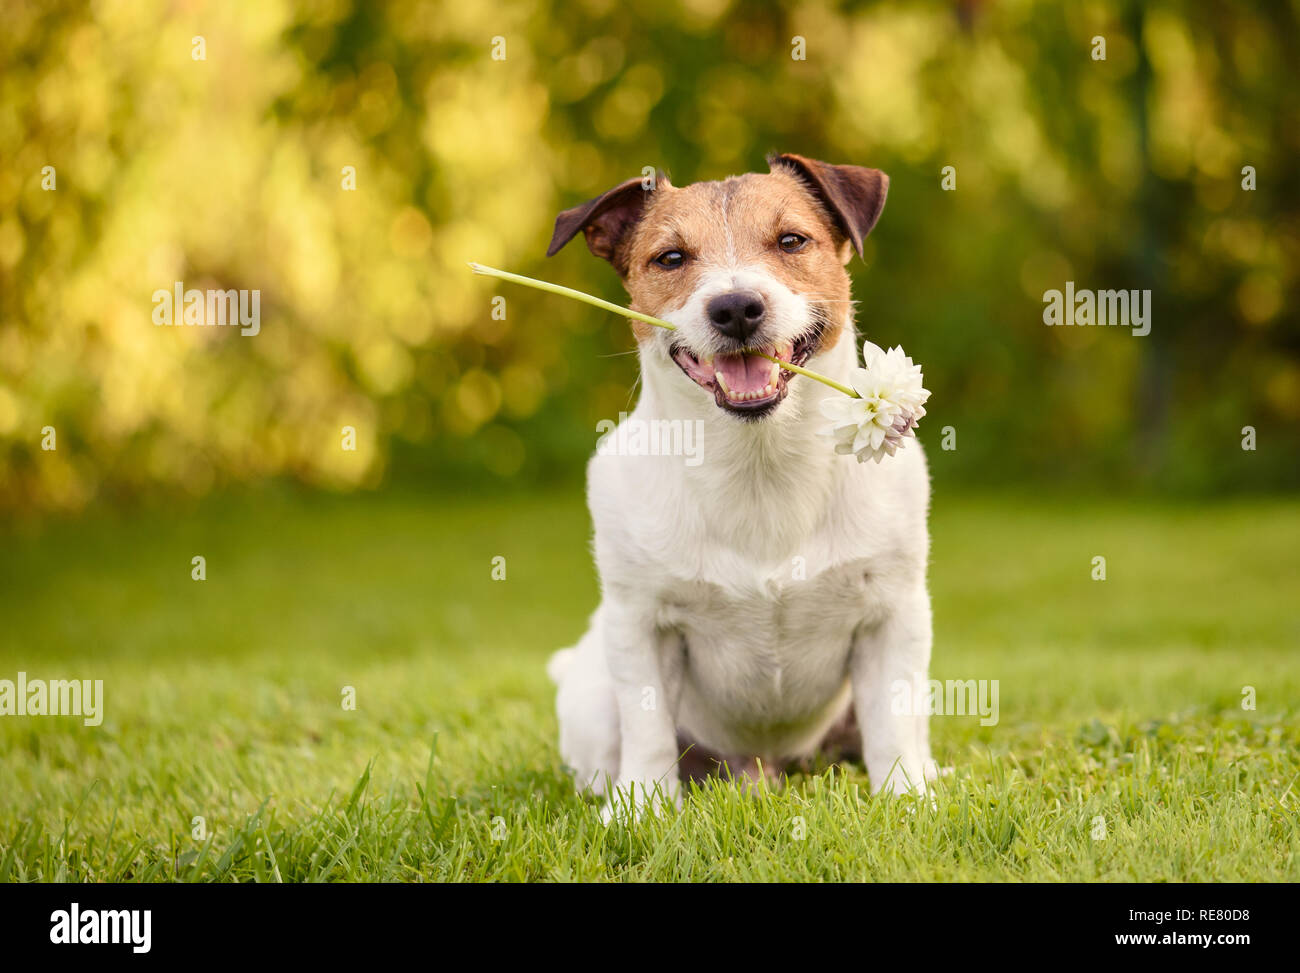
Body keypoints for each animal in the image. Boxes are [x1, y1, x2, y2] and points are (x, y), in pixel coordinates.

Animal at [546, 154, 935, 822]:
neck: (760, 465)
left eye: (792, 241)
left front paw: (905, 797)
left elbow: (893, 724)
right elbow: (647, 730)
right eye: (671, 257)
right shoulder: (640, 623)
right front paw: (643, 811)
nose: (734, 307)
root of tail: (764, 768)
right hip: (594, 698)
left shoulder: (894, 612)